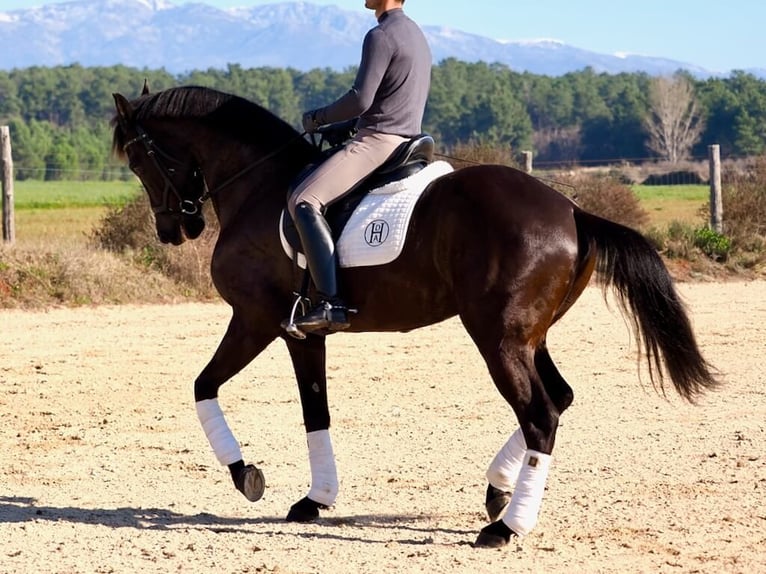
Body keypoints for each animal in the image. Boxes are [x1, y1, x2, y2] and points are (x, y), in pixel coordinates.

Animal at [109, 85, 720, 548]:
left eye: (139, 160)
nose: (173, 229)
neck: (257, 186)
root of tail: (571, 210)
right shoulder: (304, 333)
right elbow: (315, 412)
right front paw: (316, 499)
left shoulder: (258, 319)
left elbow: (204, 386)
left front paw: (246, 476)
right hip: (529, 336)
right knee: (559, 400)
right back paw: (497, 490)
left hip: (497, 338)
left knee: (541, 414)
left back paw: (506, 527)